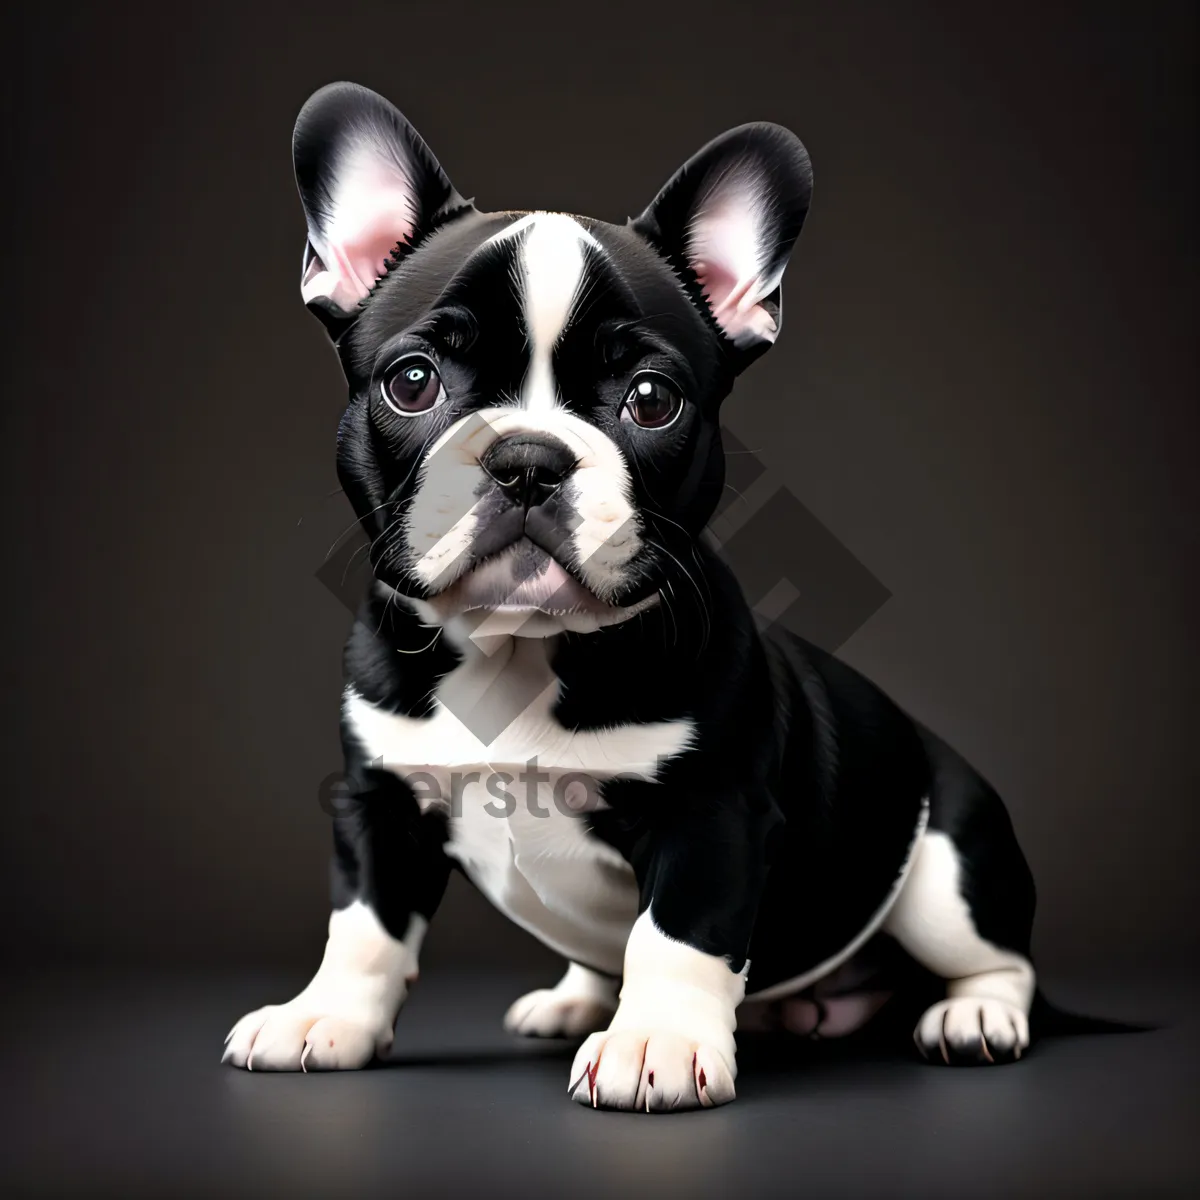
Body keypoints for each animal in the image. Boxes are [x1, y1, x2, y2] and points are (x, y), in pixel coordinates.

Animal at [223, 87, 1041, 1113]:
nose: (527, 458)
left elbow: (676, 937)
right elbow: (364, 927)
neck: (520, 647)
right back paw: (577, 999)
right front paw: (322, 1018)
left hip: (945, 869)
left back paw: (975, 1017)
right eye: (413, 382)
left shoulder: (710, 814)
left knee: (999, 957)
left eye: (651, 400)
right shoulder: (381, 803)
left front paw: (655, 1043)